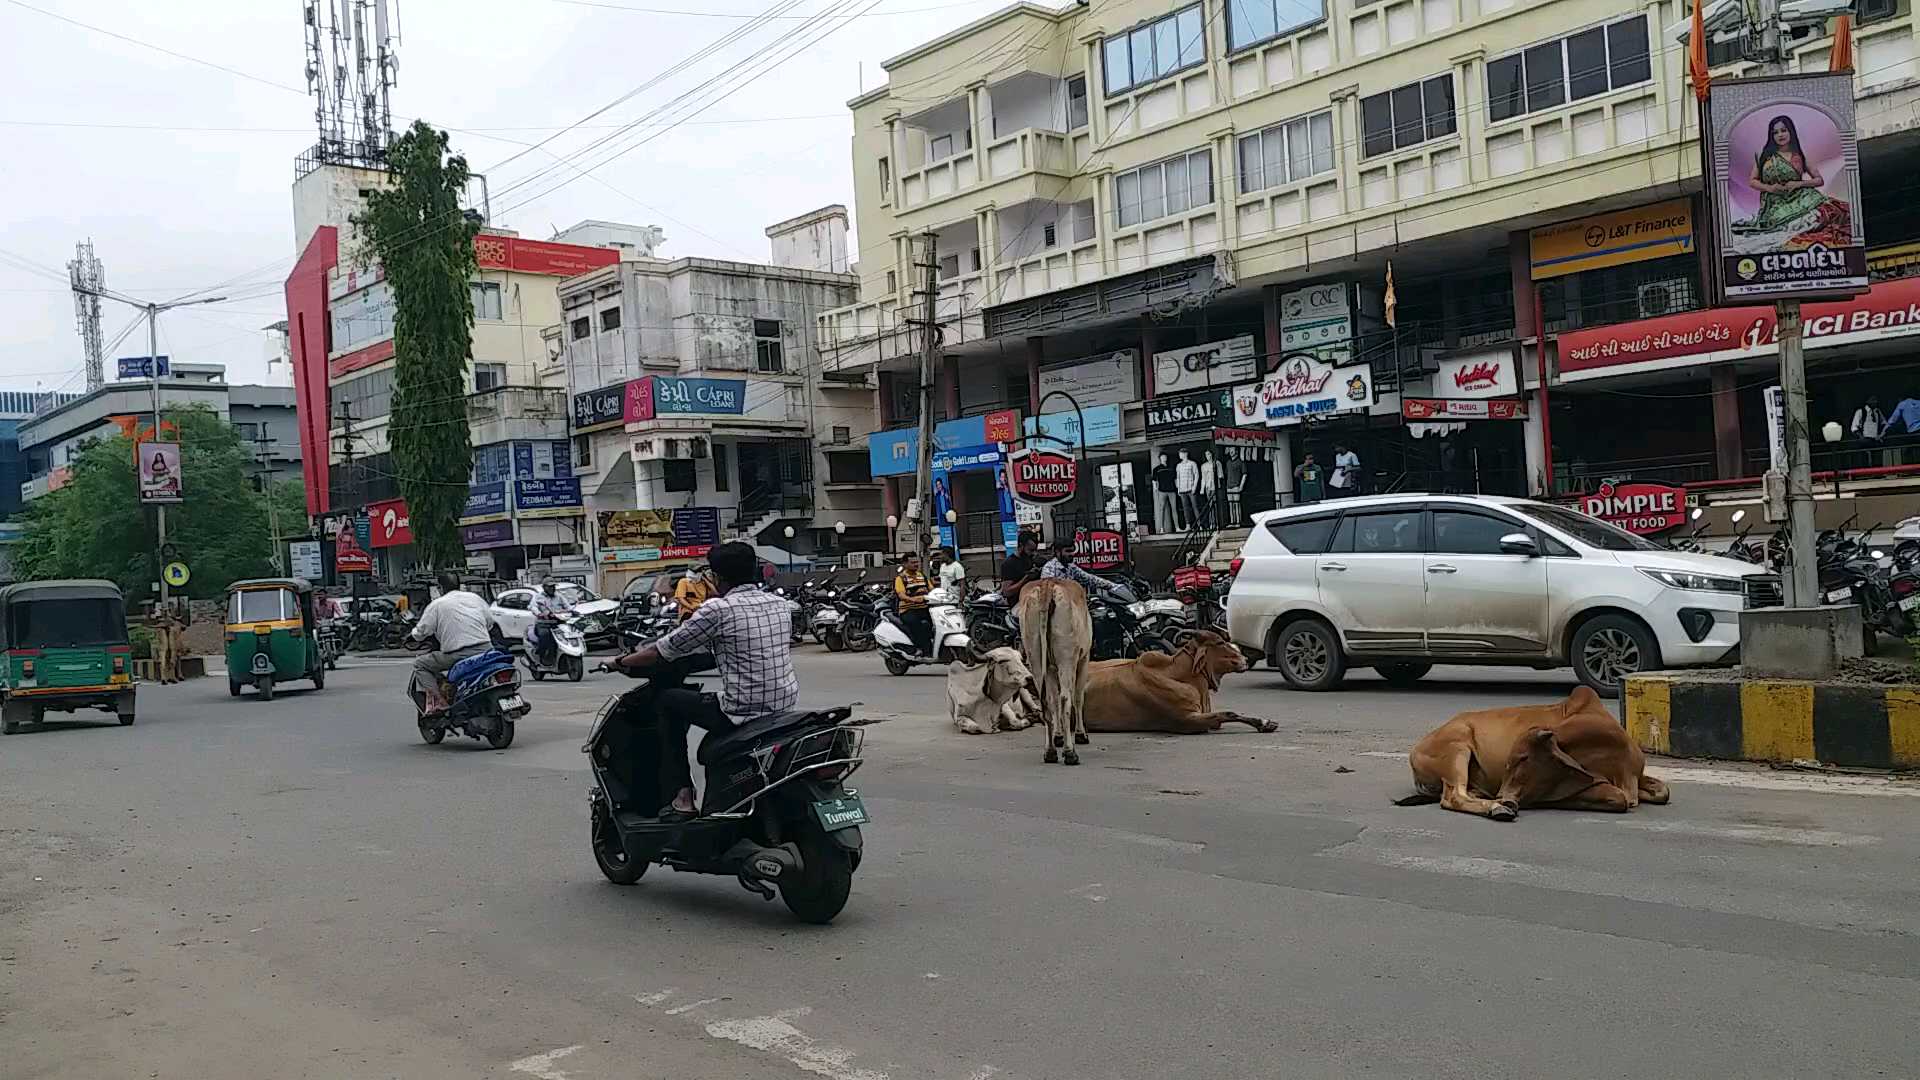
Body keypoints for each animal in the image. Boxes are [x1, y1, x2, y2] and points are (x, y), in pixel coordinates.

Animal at [1021, 576, 1098, 760]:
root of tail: (1046, 585)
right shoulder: (1083, 659)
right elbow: (1078, 697)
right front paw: (1081, 734)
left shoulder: (1049, 668)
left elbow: (1053, 699)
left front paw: (1058, 736)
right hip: (1066, 658)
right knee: (1065, 698)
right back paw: (1070, 752)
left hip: (1034, 656)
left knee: (1047, 699)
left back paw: (1050, 751)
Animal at [1397, 684, 1666, 818]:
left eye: (1523, 758)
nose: (1504, 795)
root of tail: (1415, 751)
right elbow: (1618, 798)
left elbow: (1663, 792)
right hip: (1457, 751)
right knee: (1453, 797)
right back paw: (1498, 808)